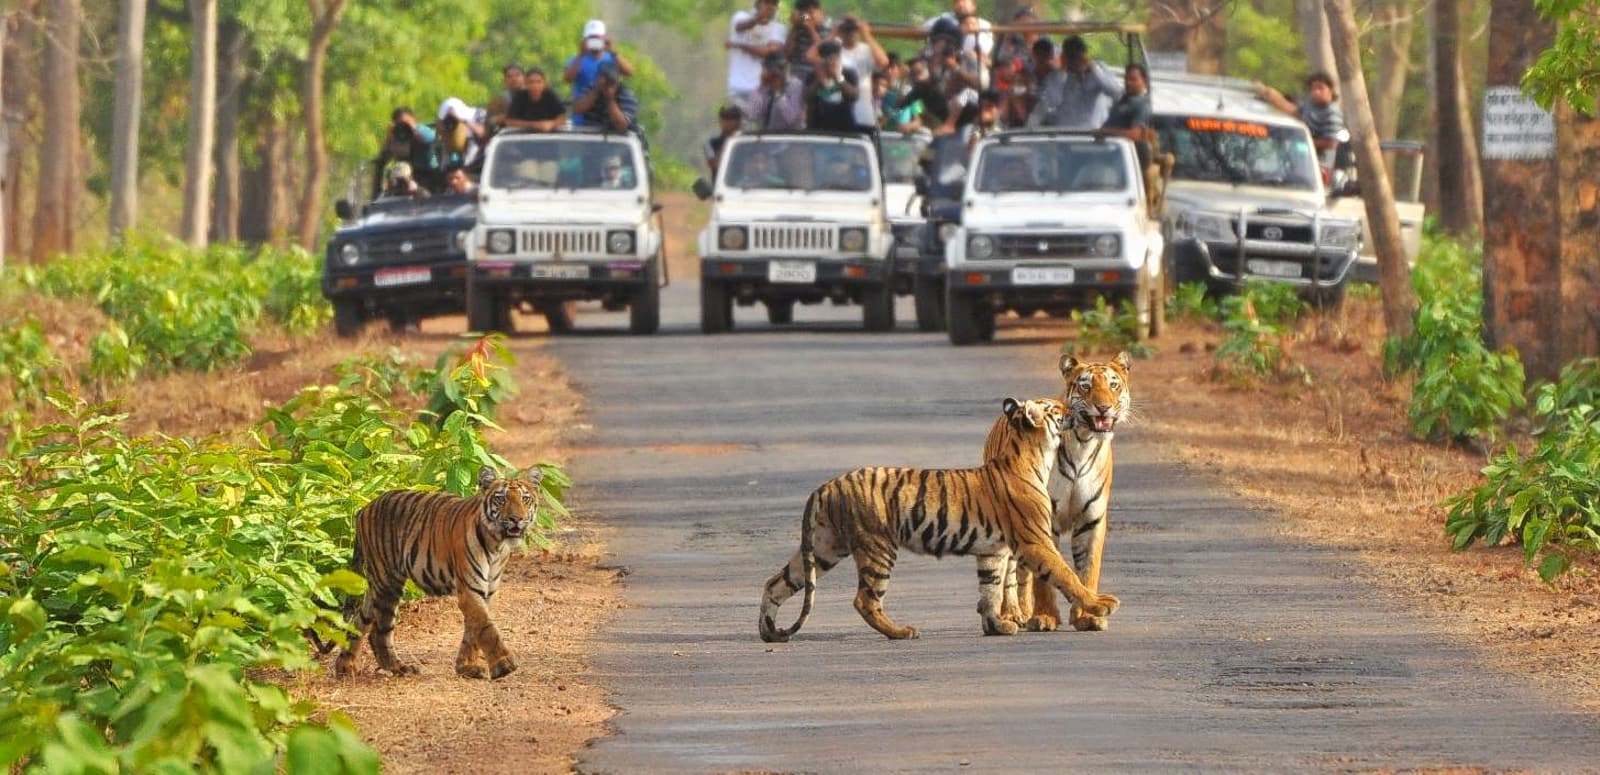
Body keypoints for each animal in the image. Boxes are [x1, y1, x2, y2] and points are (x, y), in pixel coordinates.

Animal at [324, 467, 544, 678]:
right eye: (501, 498)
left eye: (525, 499)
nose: (516, 519)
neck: (497, 544)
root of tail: (364, 509)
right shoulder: (470, 589)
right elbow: (486, 627)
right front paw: (504, 665)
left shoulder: (487, 590)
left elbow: (473, 630)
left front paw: (467, 667)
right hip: (388, 581)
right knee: (379, 632)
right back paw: (399, 667)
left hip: (378, 583)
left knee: (360, 621)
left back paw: (345, 667)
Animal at [761, 397, 1126, 643]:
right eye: (1054, 408)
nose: (1073, 409)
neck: (1032, 454)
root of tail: (825, 486)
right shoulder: (1035, 541)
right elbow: (1066, 575)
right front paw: (1101, 605)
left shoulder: (992, 551)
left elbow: (991, 589)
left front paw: (996, 626)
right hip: (877, 546)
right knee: (865, 599)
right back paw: (901, 631)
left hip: (825, 547)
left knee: (776, 582)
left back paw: (769, 632)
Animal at [979, 350, 1132, 637]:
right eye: (1086, 386)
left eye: (1113, 385)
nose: (1104, 407)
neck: (1084, 442)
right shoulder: (1042, 519)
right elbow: (1045, 576)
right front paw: (1044, 617)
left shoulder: (1092, 519)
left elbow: (1087, 569)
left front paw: (1088, 616)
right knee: (1010, 573)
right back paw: (1013, 613)